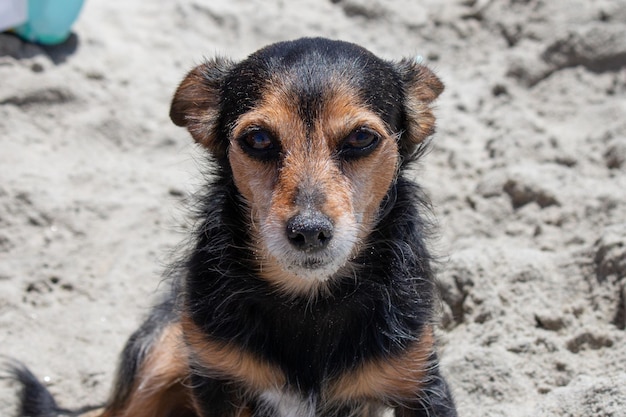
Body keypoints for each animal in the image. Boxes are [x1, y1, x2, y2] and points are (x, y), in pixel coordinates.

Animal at [9, 37, 454, 414]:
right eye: (257, 139)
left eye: (362, 138)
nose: (309, 231)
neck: (309, 302)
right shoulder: (214, 376)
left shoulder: (422, 384)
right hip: (163, 355)